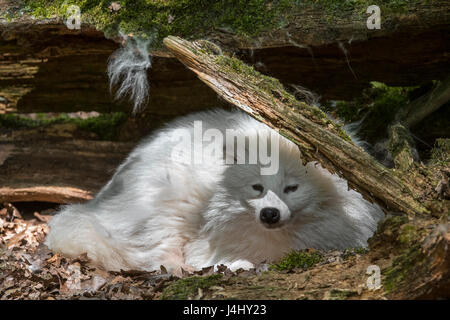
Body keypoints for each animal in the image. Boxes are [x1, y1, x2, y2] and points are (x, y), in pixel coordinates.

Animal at [44, 109, 384, 274]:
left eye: (291, 188)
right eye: (257, 187)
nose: (270, 214)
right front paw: (235, 263)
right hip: (168, 203)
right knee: (153, 257)